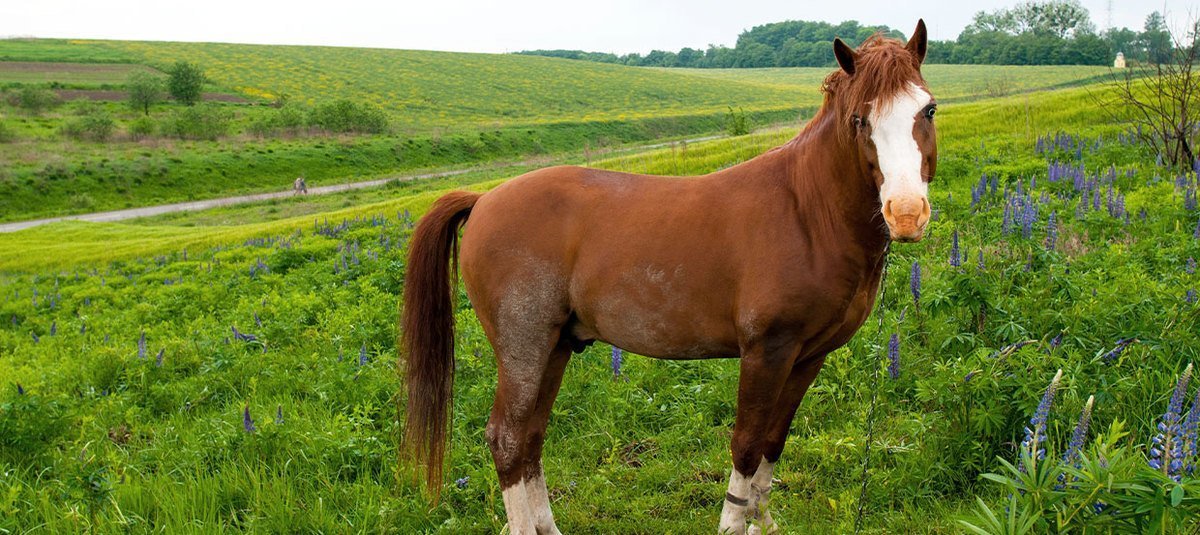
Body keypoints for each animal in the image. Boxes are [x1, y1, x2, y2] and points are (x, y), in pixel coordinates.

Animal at [403, 21, 936, 535]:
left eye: (927, 109)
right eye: (860, 120)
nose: (907, 213)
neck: (805, 211)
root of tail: (484, 199)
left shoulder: (807, 357)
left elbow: (773, 442)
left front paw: (762, 521)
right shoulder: (766, 351)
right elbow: (746, 444)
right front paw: (734, 523)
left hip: (554, 347)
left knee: (531, 438)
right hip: (524, 348)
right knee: (508, 439)